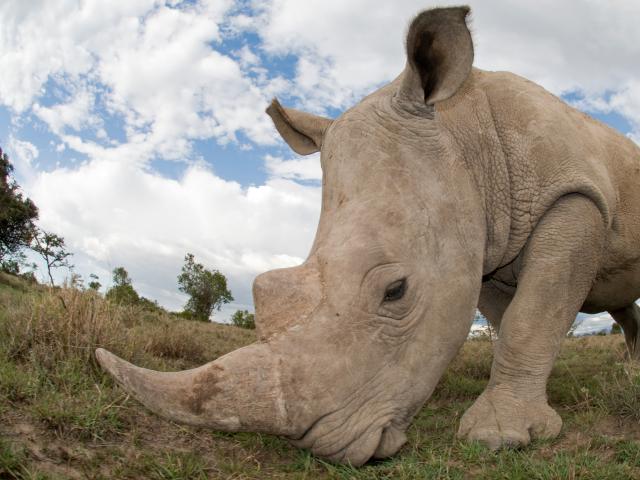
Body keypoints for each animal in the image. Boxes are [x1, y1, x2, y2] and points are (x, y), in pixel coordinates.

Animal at [96, 6, 640, 466]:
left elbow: (531, 316)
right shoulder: (485, 246)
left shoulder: (573, 197)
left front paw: (498, 438)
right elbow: (515, 319)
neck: (467, 135)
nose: (319, 444)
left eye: (395, 291)